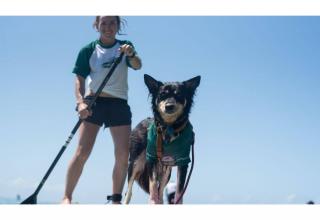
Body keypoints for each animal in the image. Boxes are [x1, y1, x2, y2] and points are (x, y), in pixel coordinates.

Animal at [124, 74, 199, 205]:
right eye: (162, 95)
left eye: (179, 95)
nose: (169, 106)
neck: (169, 126)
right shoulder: (151, 159)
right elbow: (153, 185)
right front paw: (152, 201)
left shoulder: (183, 162)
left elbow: (179, 190)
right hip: (135, 162)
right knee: (128, 192)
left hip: (166, 170)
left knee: (161, 191)